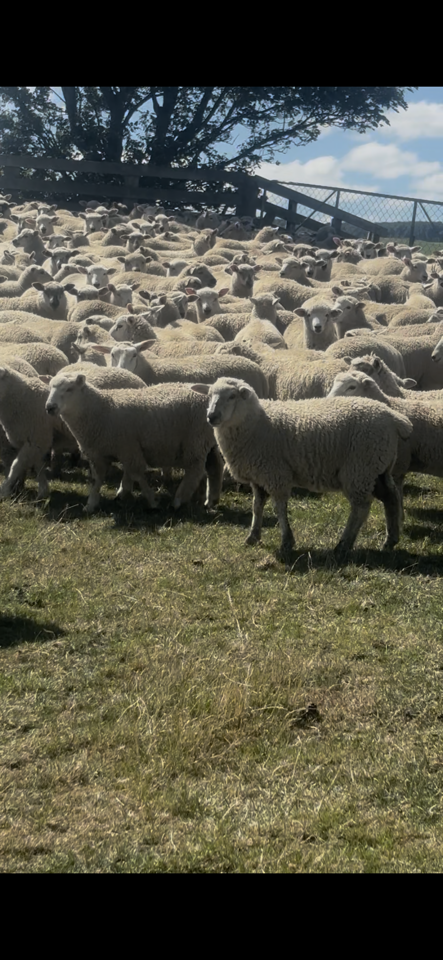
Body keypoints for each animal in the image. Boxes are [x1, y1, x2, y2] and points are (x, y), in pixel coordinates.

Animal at [45, 375, 224, 513]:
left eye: (69, 389)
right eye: (50, 388)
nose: (49, 407)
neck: (101, 409)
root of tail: (207, 394)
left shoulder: (128, 448)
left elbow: (137, 474)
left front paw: (152, 501)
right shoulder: (98, 454)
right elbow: (97, 480)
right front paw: (91, 504)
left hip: (195, 441)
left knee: (195, 470)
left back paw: (178, 501)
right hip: (208, 442)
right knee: (215, 468)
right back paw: (209, 500)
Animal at [192, 377, 412, 559]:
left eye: (232, 396)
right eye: (209, 395)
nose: (211, 416)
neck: (256, 423)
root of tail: (394, 418)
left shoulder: (276, 474)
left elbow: (279, 508)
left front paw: (286, 542)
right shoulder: (258, 477)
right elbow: (257, 506)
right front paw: (253, 536)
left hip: (359, 468)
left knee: (361, 507)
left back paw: (343, 545)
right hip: (378, 468)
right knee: (391, 497)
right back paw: (390, 541)